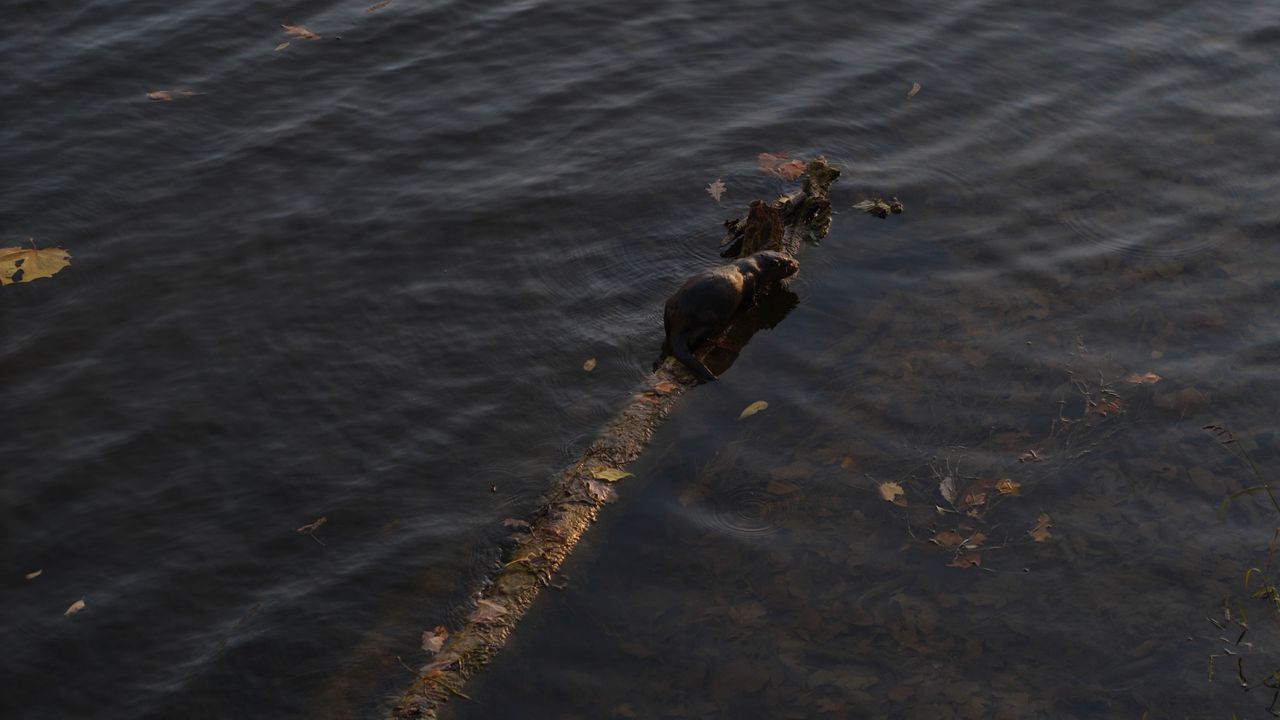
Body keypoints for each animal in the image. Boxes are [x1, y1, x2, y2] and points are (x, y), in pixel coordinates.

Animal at [662, 250, 800, 382]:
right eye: (789, 263)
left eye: (788, 255)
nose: (798, 264)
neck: (755, 268)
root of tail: (677, 321)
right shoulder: (750, 281)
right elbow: (749, 301)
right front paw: (758, 300)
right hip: (709, 320)